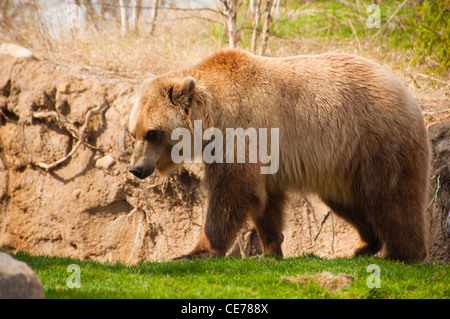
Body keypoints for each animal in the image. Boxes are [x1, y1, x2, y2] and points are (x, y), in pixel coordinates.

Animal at [128, 48, 430, 264]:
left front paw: (195, 251)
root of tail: (406, 91)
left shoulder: (240, 131)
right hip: (341, 165)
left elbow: (232, 191)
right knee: (349, 202)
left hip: (375, 139)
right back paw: (366, 245)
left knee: (392, 197)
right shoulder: (265, 154)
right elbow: (266, 201)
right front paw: (271, 249)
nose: (136, 168)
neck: (212, 115)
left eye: (152, 133)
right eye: (134, 133)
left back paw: (405, 254)